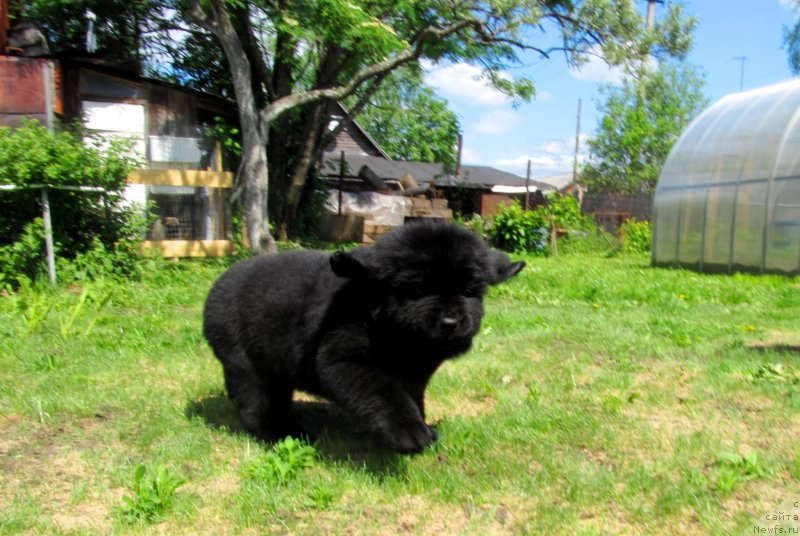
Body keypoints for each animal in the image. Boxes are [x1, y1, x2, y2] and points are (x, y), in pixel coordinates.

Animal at [203, 221, 520, 452]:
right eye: (417, 290)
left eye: (469, 291)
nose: (451, 322)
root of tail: (217, 286)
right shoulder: (345, 359)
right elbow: (386, 393)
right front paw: (409, 431)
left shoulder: (416, 377)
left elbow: (413, 398)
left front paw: (426, 427)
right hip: (245, 365)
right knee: (254, 406)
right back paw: (279, 434)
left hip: (275, 367)